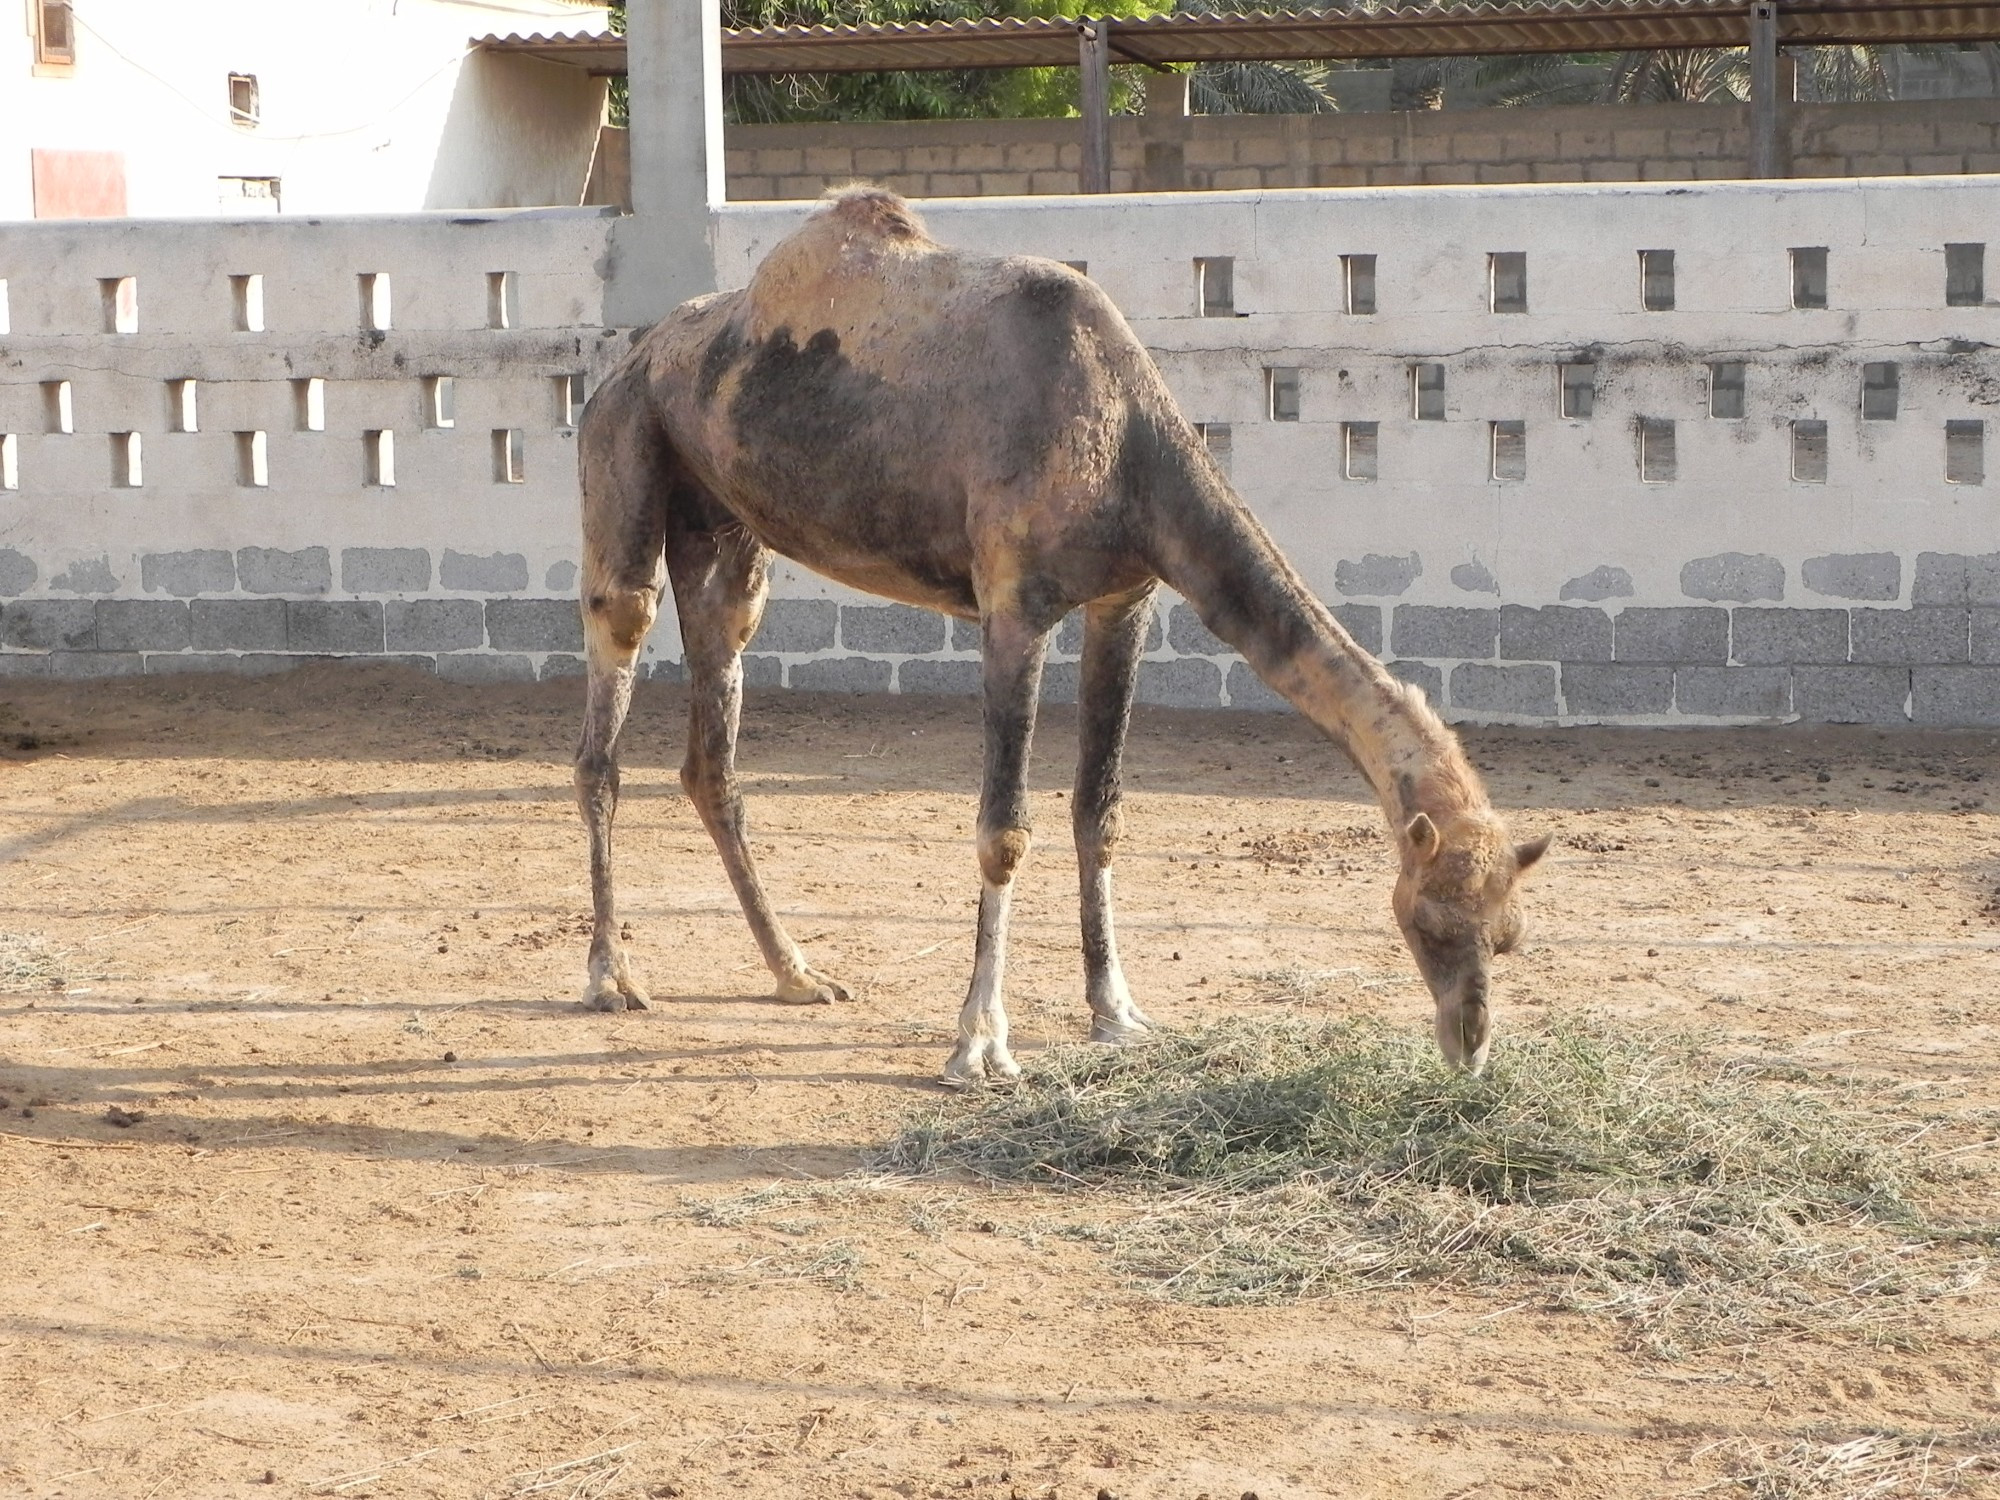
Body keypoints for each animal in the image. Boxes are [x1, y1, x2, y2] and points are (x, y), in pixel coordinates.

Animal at [572, 185, 1552, 1080]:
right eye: (1428, 921)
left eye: (1508, 934)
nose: (1469, 1047)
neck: (1128, 445)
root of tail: (633, 356)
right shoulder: (1014, 606)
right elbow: (1003, 829)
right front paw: (978, 1044)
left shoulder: (1125, 598)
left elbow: (1100, 811)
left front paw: (1117, 1011)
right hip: (623, 452)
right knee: (608, 705)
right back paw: (612, 977)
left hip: (724, 528)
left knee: (713, 746)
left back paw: (797, 973)